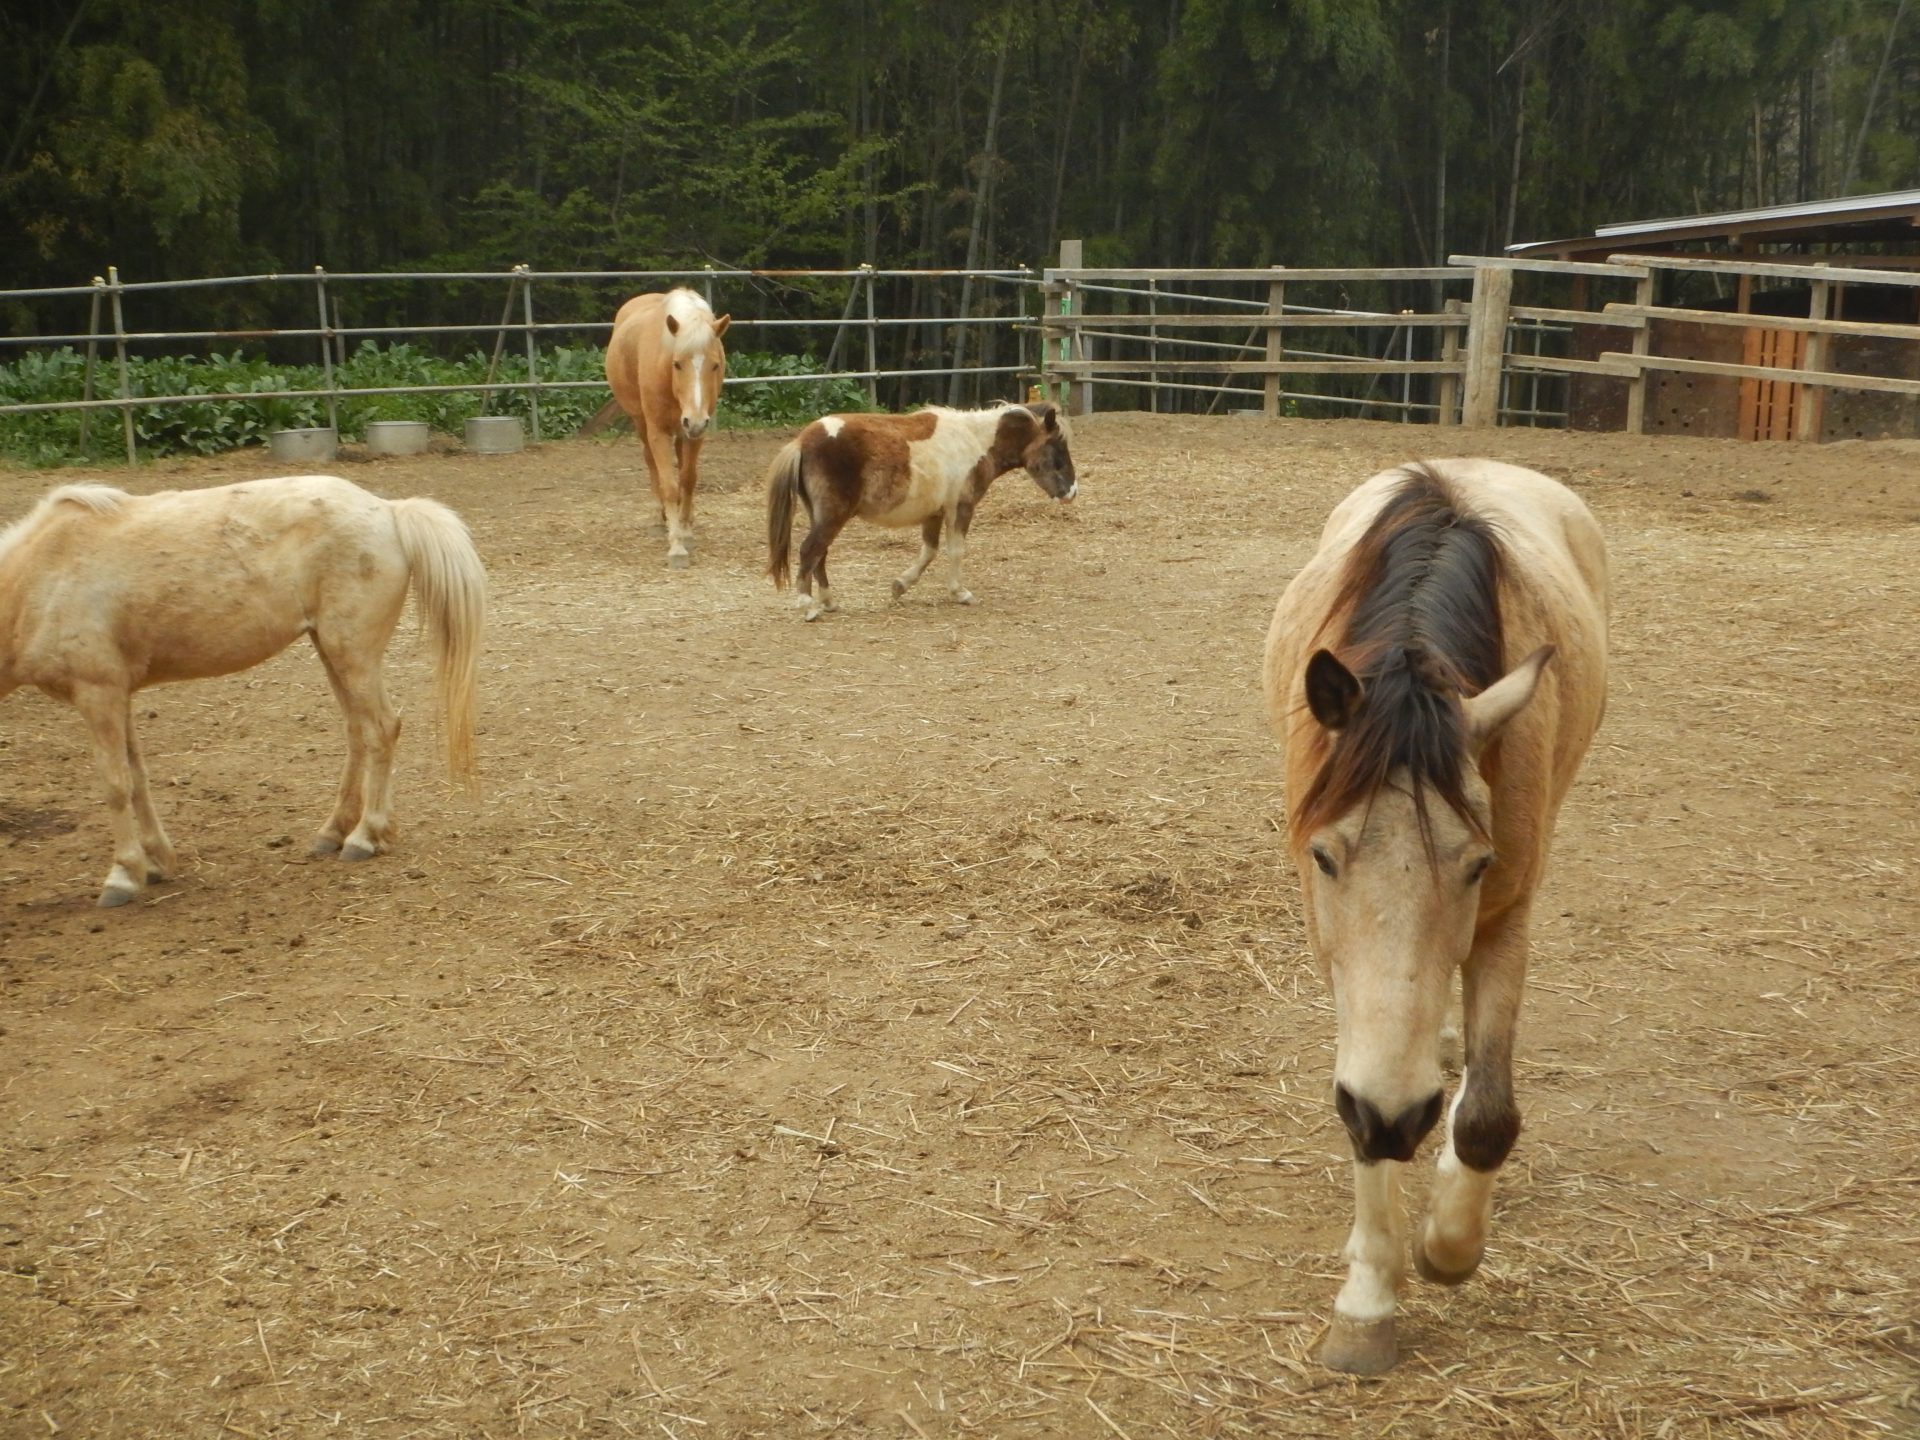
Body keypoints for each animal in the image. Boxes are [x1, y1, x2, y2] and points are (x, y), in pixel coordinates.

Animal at [0, 476, 487, 902]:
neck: (40, 575)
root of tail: (388, 511)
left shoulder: (97, 694)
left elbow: (115, 784)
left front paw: (122, 876)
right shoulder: (119, 696)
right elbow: (136, 779)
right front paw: (156, 862)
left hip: (352, 651)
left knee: (382, 729)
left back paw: (364, 837)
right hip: (332, 649)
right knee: (357, 731)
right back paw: (333, 832)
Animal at [764, 401, 1082, 622]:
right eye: (1057, 448)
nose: (1072, 492)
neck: (975, 442)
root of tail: (802, 441)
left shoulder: (934, 514)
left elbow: (929, 551)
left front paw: (900, 586)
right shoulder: (960, 507)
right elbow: (955, 550)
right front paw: (960, 593)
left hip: (824, 516)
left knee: (820, 554)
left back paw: (829, 602)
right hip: (832, 516)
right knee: (810, 551)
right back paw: (808, 606)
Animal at [1259, 458, 1605, 1374]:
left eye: (1478, 863)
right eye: (1324, 857)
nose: (1400, 1113)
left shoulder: (1507, 912)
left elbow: (1486, 1116)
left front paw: (1447, 1247)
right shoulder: (1329, 945)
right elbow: (1360, 1116)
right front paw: (1368, 1303)